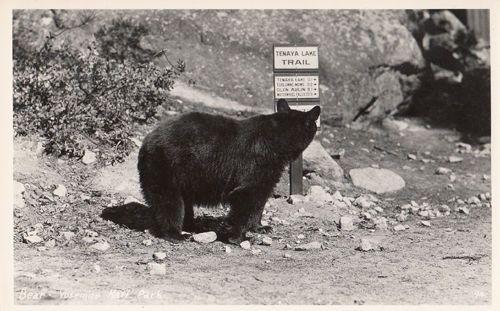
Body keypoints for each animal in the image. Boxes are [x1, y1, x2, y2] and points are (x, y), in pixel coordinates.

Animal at [137, 99, 320, 244]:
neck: (278, 142)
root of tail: (147, 141)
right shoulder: (256, 162)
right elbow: (245, 195)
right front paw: (239, 237)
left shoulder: (269, 170)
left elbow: (260, 198)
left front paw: (260, 227)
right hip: (167, 166)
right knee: (169, 201)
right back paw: (177, 234)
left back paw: (193, 225)